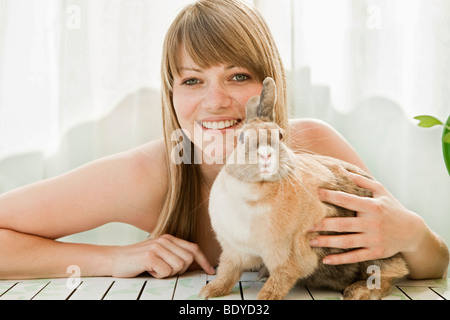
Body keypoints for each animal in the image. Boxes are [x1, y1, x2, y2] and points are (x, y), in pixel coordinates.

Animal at [200, 77, 408, 300]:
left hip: (377, 255)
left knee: (388, 277)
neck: (255, 191)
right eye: (241, 138)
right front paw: (209, 291)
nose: (266, 155)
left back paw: (357, 292)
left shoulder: (289, 256)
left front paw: (265, 297)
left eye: (280, 136)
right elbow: (227, 272)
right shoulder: (234, 251)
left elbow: (280, 280)